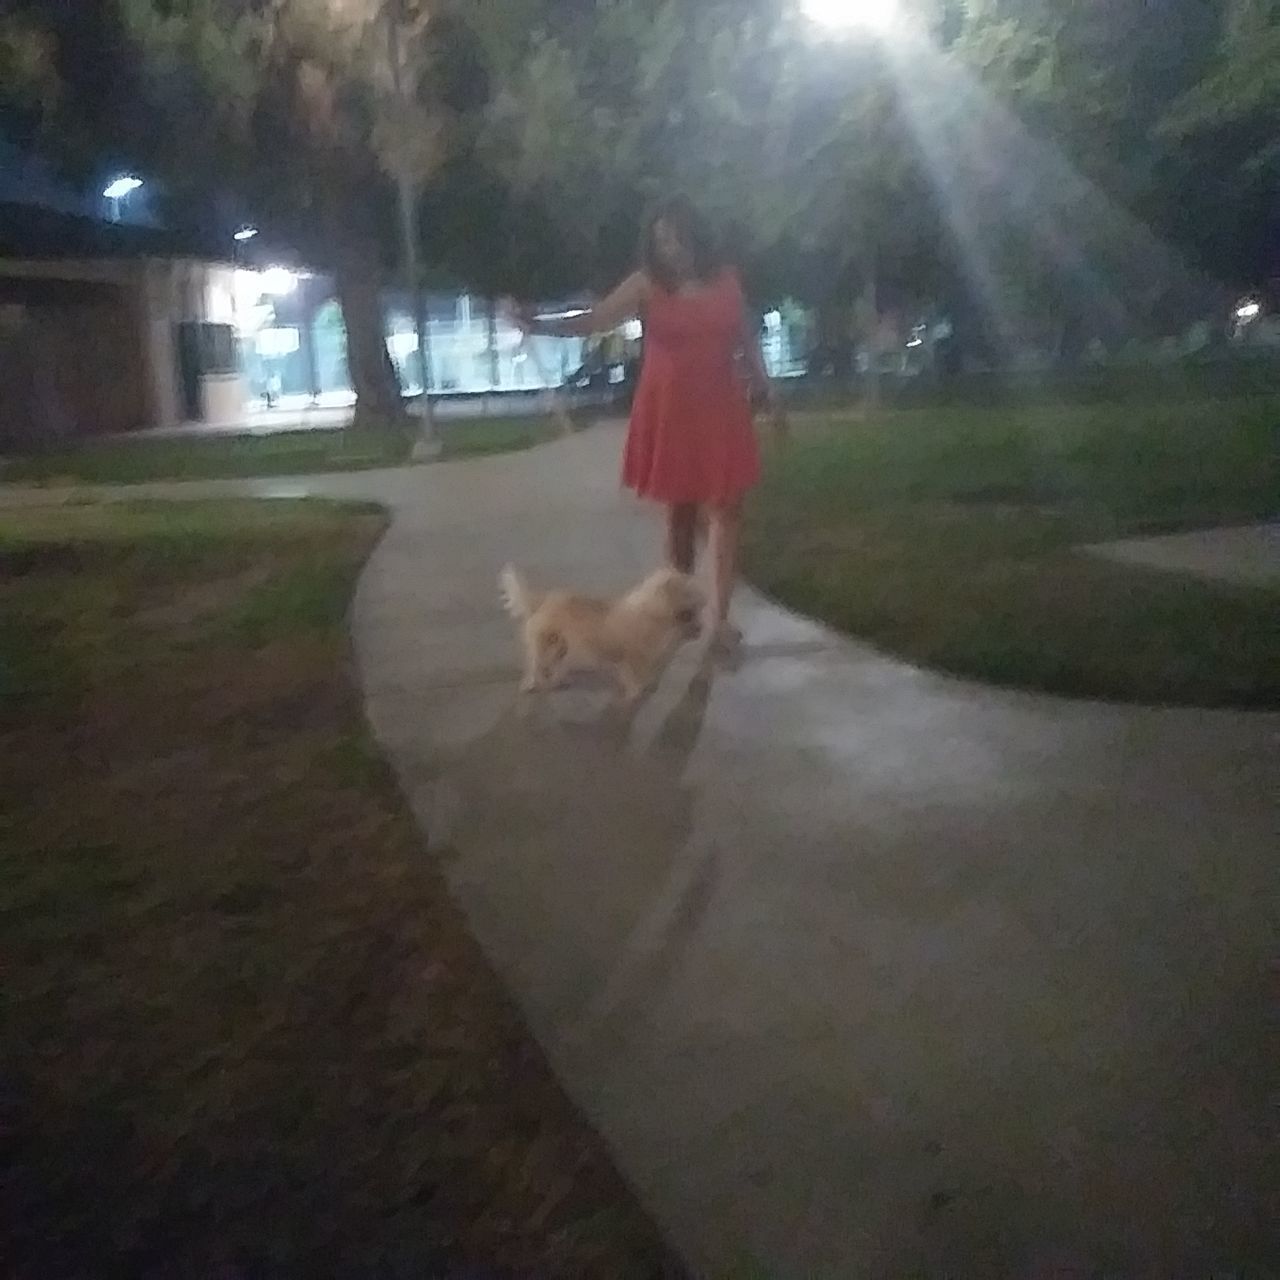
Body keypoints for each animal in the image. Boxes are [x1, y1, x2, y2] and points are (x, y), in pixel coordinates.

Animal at [499, 565, 706, 701]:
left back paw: (560, 679)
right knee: (536, 664)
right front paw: (635, 693)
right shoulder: (633, 658)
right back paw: (532, 684)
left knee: (556, 665)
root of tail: (541, 602)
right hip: (547, 645)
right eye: (688, 613)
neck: (652, 615)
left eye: (698, 608)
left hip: (562, 646)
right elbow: (634, 677)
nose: (701, 629)